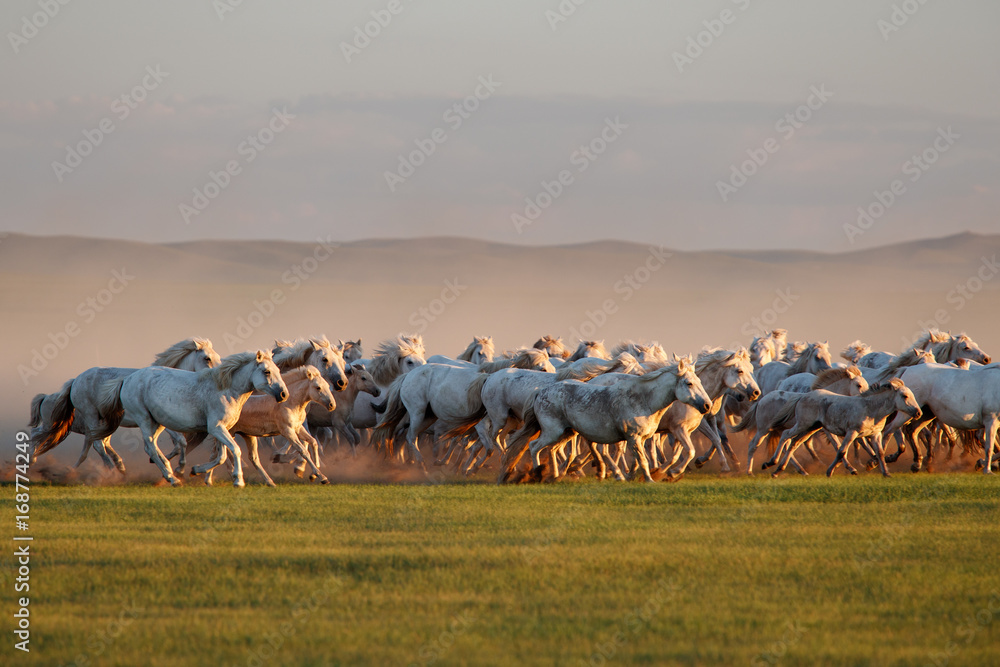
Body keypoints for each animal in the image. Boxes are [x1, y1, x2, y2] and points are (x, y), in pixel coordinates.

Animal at [29, 337, 222, 473]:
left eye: (218, 357)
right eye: (207, 358)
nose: (218, 375)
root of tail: (75, 381)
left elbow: (174, 443)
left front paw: (166, 463)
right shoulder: (164, 422)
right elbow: (180, 441)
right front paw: (174, 466)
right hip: (89, 416)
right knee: (95, 444)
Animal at [94, 350, 288, 487]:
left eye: (278, 370)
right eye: (266, 371)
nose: (283, 394)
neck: (225, 389)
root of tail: (127, 379)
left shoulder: (223, 429)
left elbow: (222, 456)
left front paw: (196, 470)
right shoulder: (216, 428)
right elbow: (234, 450)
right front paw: (238, 481)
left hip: (157, 423)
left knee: (152, 447)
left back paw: (172, 471)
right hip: (144, 419)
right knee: (149, 447)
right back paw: (172, 479)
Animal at [186, 366, 335, 486]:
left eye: (327, 386)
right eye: (318, 387)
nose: (332, 405)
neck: (290, 403)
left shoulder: (298, 428)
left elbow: (313, 442)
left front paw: (314, 474)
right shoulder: (287, 431)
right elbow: (303, 451)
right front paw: (322, 477)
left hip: (247, 436)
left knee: (251, 458)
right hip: (227, 433)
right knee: (219, 455)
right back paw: (205, 476)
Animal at [498, 360, 712, 483]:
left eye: (700, 382)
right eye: (689, 383)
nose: (707, 405)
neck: (643, 399)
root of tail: (540, 392)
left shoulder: (640, 439)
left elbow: (639, 459)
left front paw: (636, 475)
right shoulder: (633, 437)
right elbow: (643, 459)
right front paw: (651, 479)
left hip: (567, 432)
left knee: (552, 450)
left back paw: (556, 476)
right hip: (553, 431)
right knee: (534, 446)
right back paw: (538, 474)